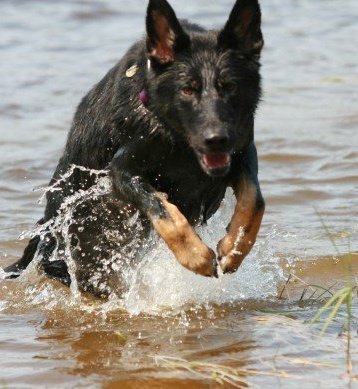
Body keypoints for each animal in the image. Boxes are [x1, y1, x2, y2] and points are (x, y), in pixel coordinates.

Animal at [5, 0, 264, 296]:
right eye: (187, 90)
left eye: (229, 86)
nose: (216, 139)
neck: (173, 136)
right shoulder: (122, 171)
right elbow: (164, 212)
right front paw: (195, 255)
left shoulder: (243, 153)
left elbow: (254, 201)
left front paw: (234, 248)